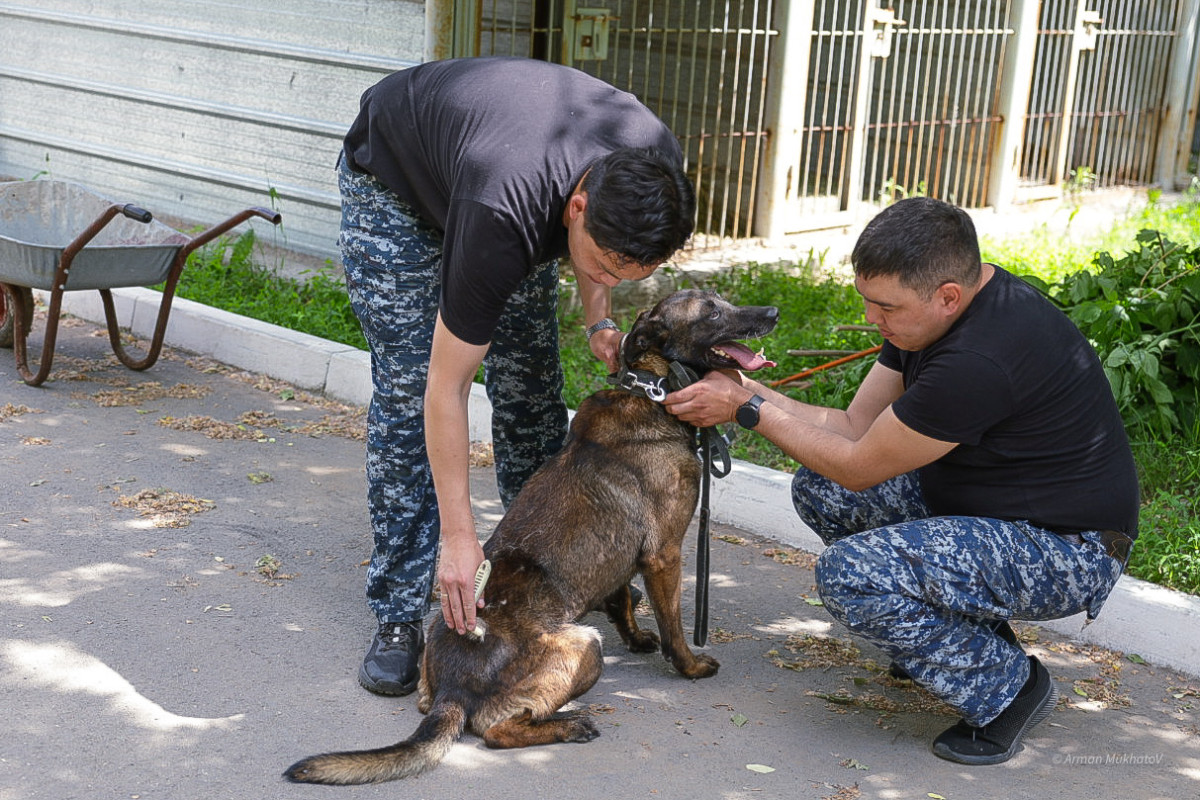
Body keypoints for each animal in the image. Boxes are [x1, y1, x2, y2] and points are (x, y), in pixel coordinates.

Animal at [285, 287, 782, 782]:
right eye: (712, 312)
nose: (774, 312)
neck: (652, 390)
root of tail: (450, 692)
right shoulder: (665, 555)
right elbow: (674, 626)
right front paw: (690, 666)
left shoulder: (626, 555)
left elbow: (622, 597)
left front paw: (637, 638)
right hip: (584, 645)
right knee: (496, 731)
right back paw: (568, 725)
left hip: (448, 678)